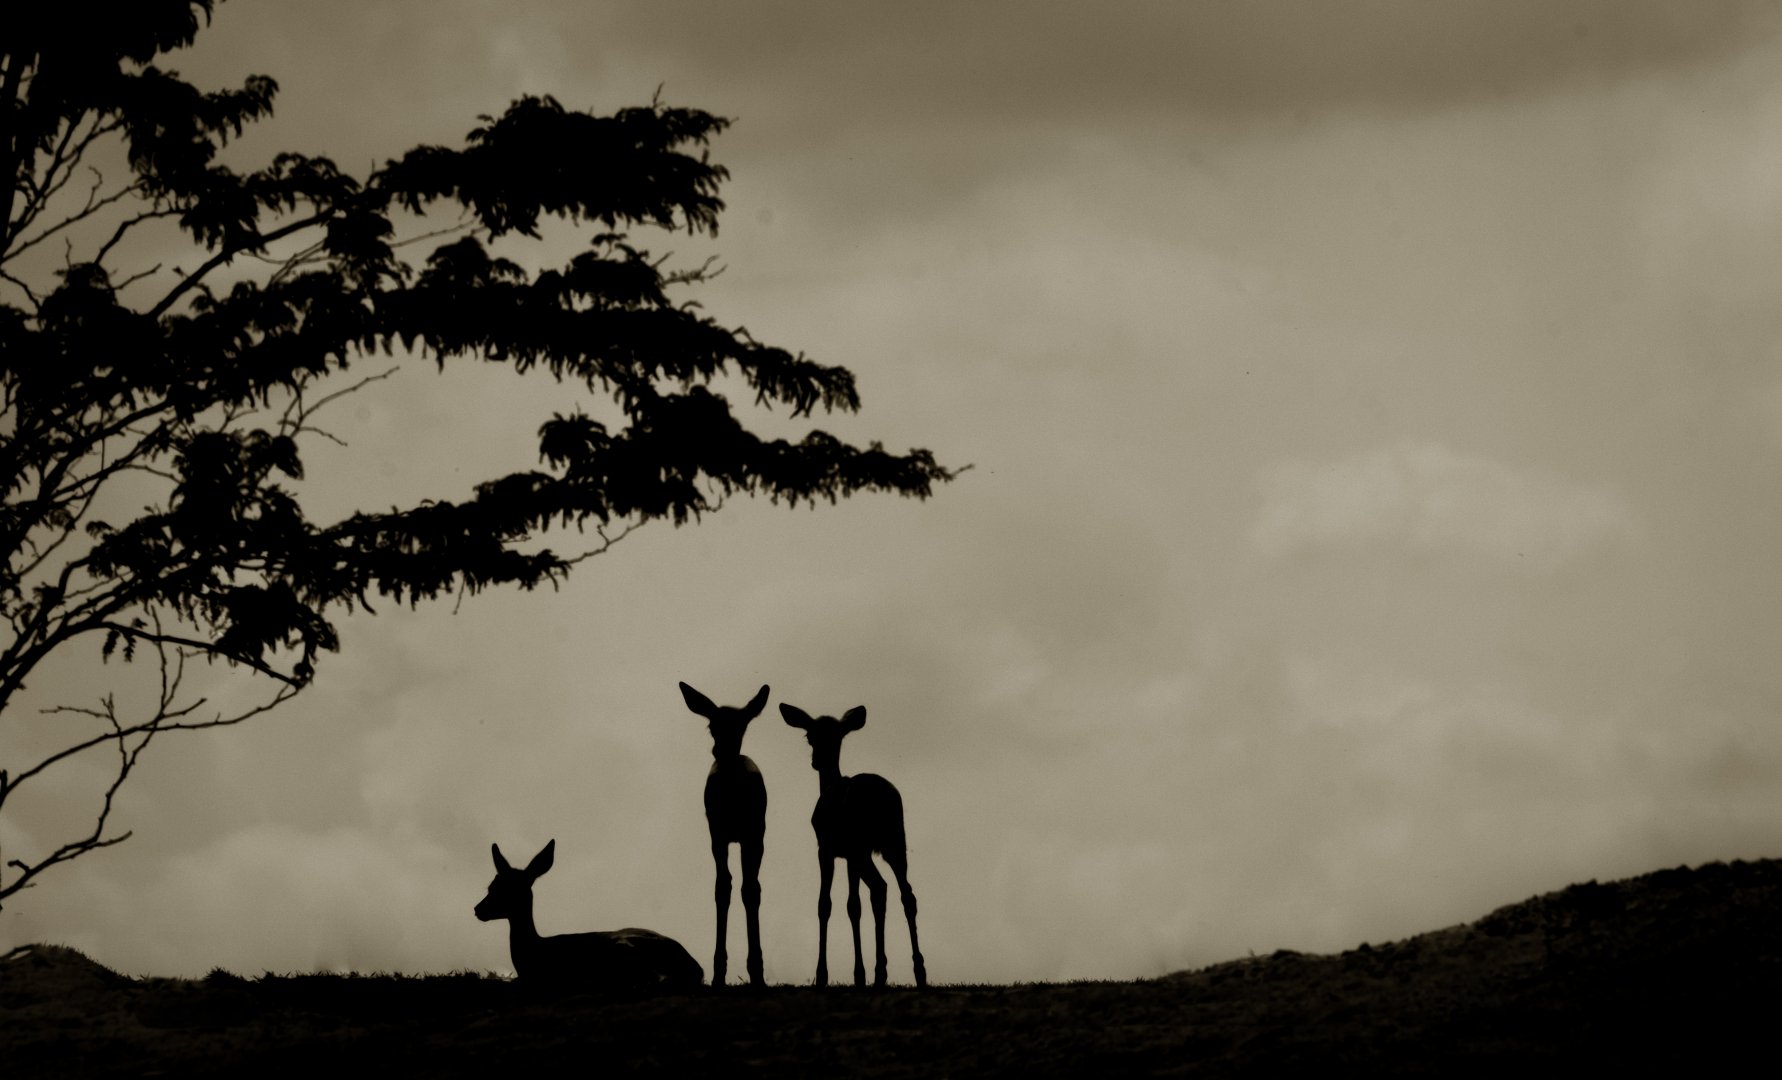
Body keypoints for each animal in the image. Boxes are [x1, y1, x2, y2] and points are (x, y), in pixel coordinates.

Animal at [474, 839, 702, 991]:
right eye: (491, 886)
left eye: (508, 889)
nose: (477, 909)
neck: (533, 951)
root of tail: (696, 967)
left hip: (623, 948)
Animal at [678, 681, 770, 986]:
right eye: (712, 726)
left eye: (741, 725)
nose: (719, 750)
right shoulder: (716, 833)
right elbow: (722, 887)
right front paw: (719, 972)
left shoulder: (754, 833)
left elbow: (751, 889)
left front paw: (757, 972)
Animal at [780, 701, 927, 988]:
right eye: (811, 736)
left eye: (832, 737)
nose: (816, 760)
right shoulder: (851, 855)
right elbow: (854, 905)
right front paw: (860, 973)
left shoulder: (827, 848)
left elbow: (826, 904)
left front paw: (824, 975)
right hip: (894, 841)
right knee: (904, 893)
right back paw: (914, 971)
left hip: (862, 845)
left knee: (880, 888)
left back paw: (880, 971)